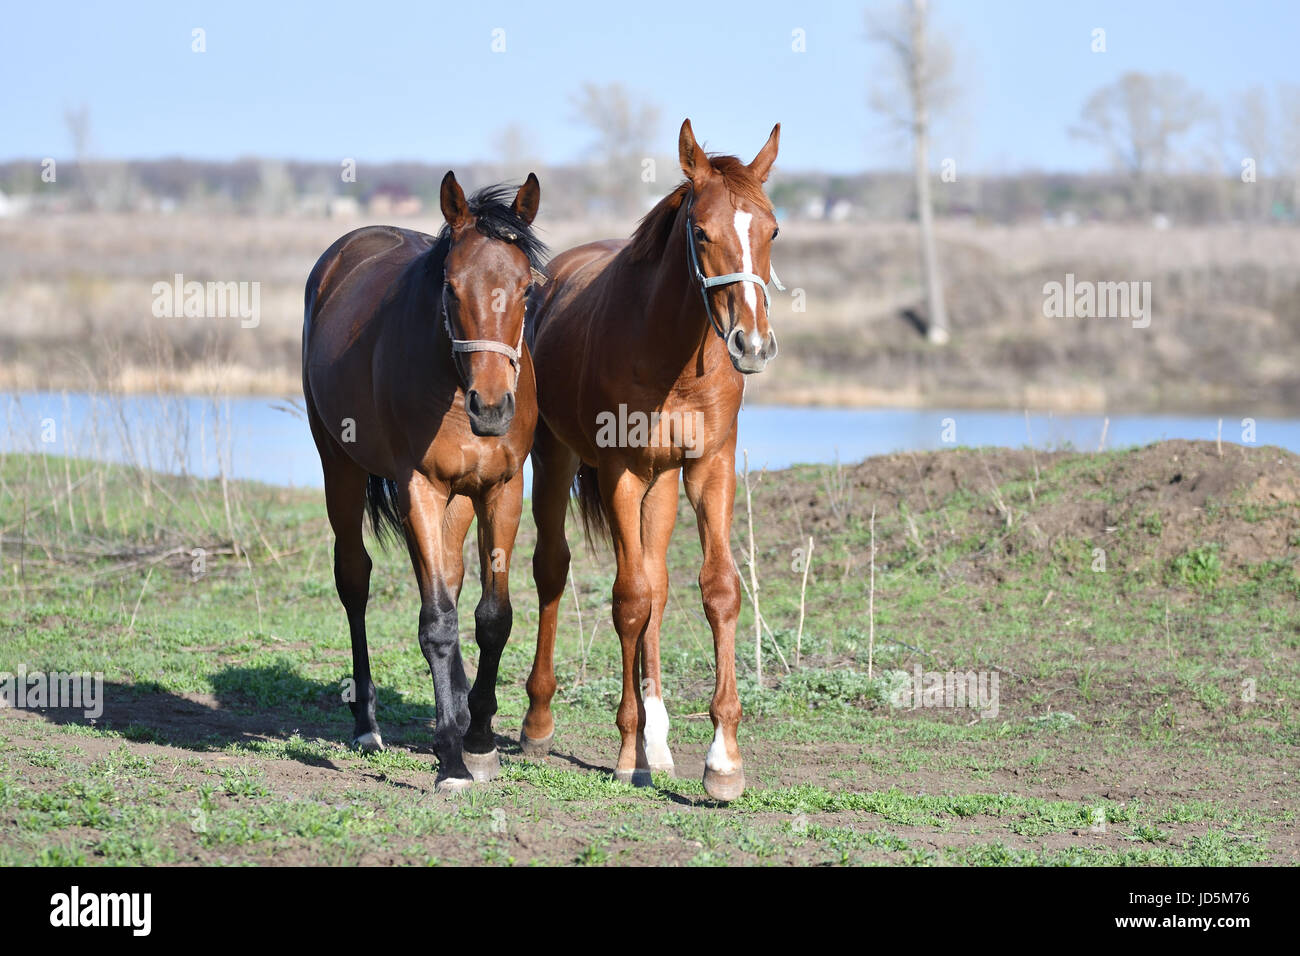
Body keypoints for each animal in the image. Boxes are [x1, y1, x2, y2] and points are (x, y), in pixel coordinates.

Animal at [302, 172, 544, 791]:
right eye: (452, 288)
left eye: (526, 290)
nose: (491, 407)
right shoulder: (418, 486)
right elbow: (436, 622)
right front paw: (453, 758)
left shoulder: (502, 489)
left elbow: (491, 617)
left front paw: (478, 738)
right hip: (339, 467)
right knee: (355, 580)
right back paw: (367, 725)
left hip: (457, 500)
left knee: (450, 581)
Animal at [520, 119, 782, 801]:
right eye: (702, 232)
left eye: (771, 229)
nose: (752, 344)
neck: (672, 354)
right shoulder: (619, 471)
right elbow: (628, 599)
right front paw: (625, 749)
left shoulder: (710, 465)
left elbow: (714, 589)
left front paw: (723, 760)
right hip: (557, 460)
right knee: (555, 571)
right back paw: (540, 724)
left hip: (662, 483)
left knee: (658, 586)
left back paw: (659, 743)